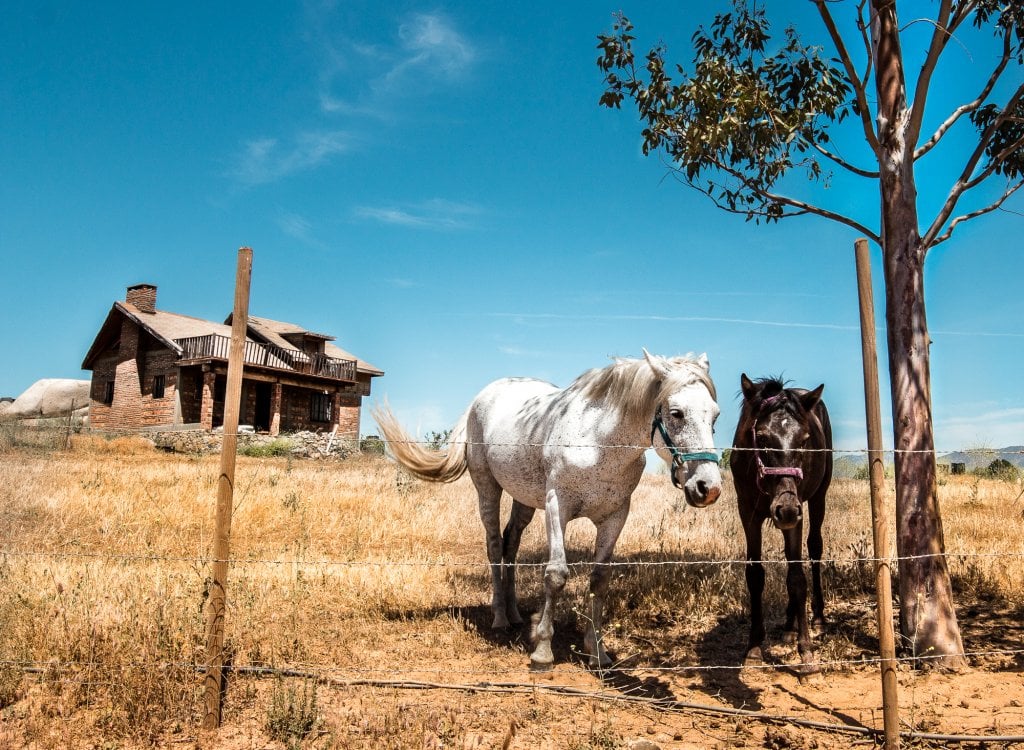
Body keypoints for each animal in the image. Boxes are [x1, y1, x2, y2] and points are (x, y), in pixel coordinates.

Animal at [374, 352, 720, 672]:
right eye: (676, 413)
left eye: (715, 417)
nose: (708, 487)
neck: (599, 442)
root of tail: (481, 398)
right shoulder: (557, 507)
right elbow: (556, 575)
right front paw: (542, 651)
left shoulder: (615, 517)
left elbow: (599, 581)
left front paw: (597, 651)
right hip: (487, 488)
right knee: (494, 545)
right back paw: (500, 616)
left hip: (524, 500)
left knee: (511, 543)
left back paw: (515, 614)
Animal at [729, 375, 831, 672]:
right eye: (762, 438)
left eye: (805, 440)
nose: (784, 509)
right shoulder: (748, 513)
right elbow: (755, 575)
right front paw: (754, 646)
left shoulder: (797, 514)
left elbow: (797, 578)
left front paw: (806, 651)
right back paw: (788, 625)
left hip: (818, 497)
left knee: (815, 549)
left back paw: (817, 618)